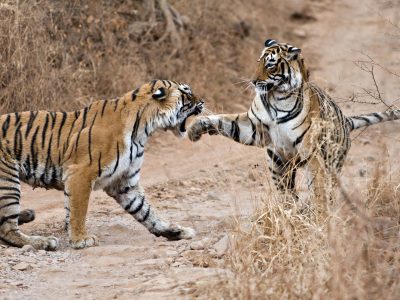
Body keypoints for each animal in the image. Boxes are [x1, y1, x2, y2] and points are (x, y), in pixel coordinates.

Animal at [0, 78, 203, 250]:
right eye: (187, 92)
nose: (203, 101)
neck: (143, 129)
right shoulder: (80, 173)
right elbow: (78, 210)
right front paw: (81, 239)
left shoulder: (124, 183)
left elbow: (146, 211)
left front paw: (174, 231)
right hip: (8, 181)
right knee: (6, 230)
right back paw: (43, 242)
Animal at [188, 38, 400, 204]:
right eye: (258, 62)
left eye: (270, 64)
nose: (253, 81)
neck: (274, 97)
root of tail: (346, 122)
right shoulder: (253, 127)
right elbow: (225, 121)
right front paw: (195, 128)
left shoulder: (310, 151)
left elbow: (318, 189)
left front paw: (320, 215)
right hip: (277, 163)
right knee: (287, 191)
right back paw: (291, 209)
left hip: (331, 163)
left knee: (326, 189)